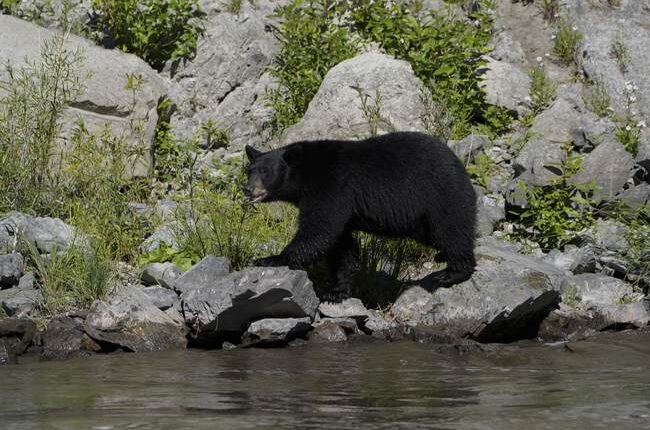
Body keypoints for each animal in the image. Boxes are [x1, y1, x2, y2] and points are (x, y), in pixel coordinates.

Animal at [244, 131, 477, 301]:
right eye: (249, 170)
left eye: (265, 172)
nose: (247, 189)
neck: (305, 174)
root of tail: (459, 164)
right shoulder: (340, 205)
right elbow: (341, 246)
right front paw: (338, 290)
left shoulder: (331, 187)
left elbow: (318, 230)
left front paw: (270, 259)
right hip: (421, 221)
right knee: (438, 235)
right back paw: (443, 256)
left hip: (440, 195)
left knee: (452, 230)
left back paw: (452, 272)